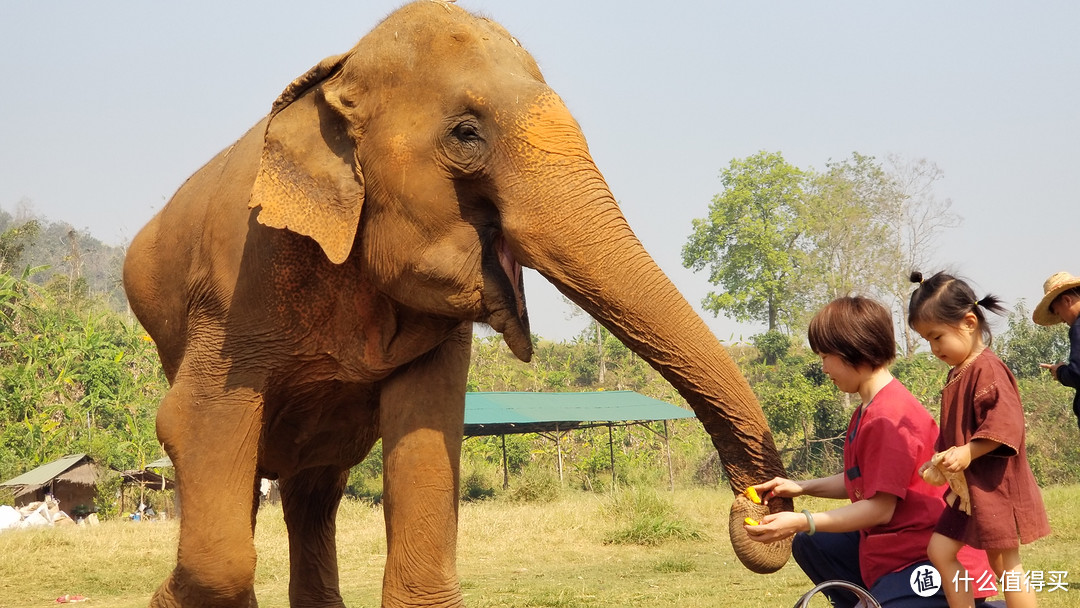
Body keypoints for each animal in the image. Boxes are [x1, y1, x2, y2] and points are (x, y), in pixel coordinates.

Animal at [122, 2, 794, 604]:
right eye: (466, 134)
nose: (755, 510)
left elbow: (425, 433)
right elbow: (193, 425)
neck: (338, 75)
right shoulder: (236, 287)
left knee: (315, 490)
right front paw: (166, 596)